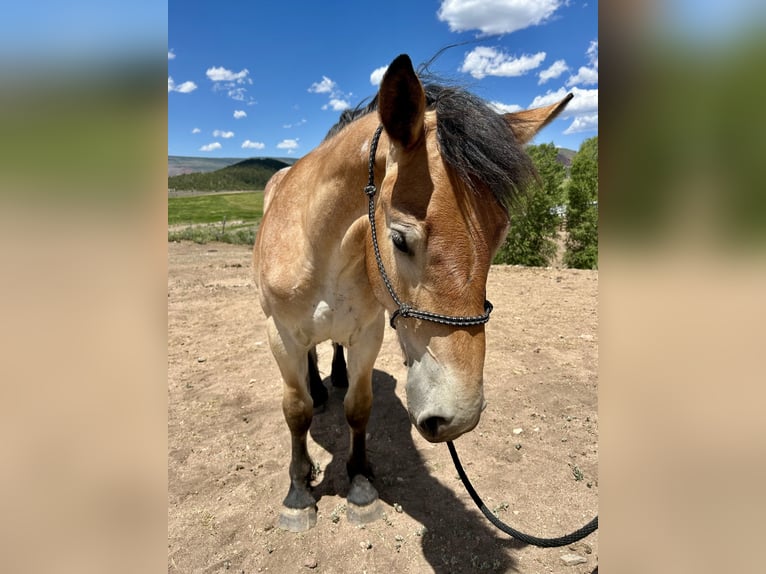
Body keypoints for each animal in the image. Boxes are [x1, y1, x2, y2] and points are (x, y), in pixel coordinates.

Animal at [253, 54, 571, 531]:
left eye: (501, 236)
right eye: (400, 240)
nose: (459, 416)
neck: (317, 246)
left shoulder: (367, 333)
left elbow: (359, 406)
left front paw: (360, 485)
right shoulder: (281, 336)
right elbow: (296, 410)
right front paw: (298, 493)